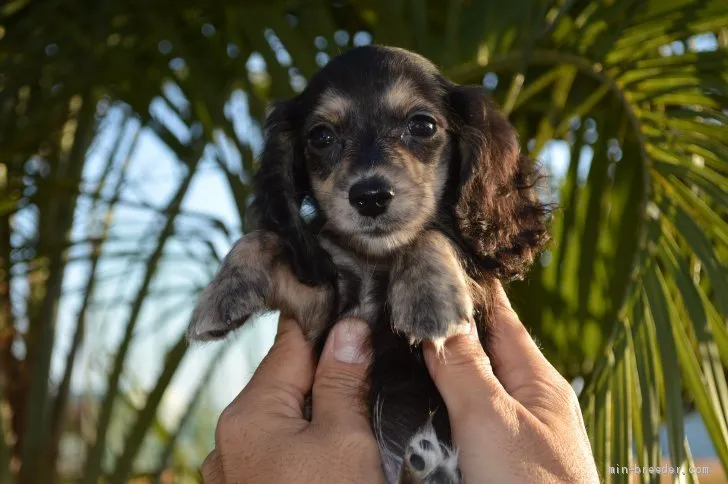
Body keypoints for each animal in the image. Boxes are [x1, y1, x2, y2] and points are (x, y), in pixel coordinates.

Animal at [186, 45, 544, 484]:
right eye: (321, 136)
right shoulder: (318, 301)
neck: (377, 258)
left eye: (422, 125)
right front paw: (221, 297)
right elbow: (264, 238)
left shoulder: (483, 293)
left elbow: (430, 234)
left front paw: (428, 301)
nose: (370, 197)